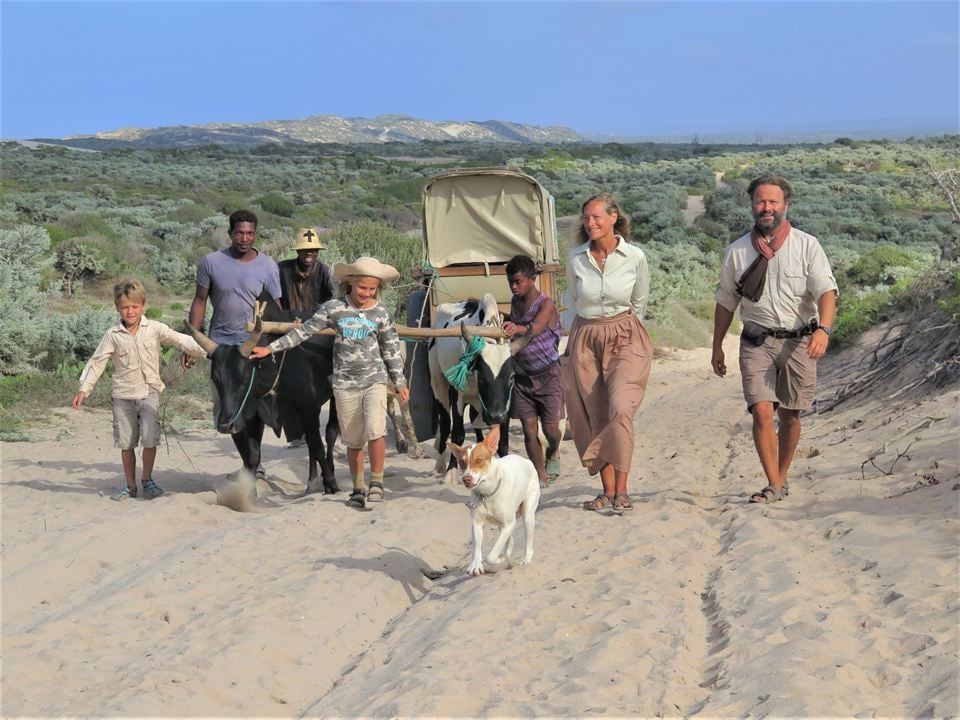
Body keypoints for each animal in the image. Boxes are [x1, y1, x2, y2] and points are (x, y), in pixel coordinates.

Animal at [448, 428, 540, 572]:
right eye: (461, 463)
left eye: (479, 460)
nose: (466, 479)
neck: (487, 494)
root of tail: (527, 461)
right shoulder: (477, 523)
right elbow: (476, 546)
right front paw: (475, 564)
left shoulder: (509, 523)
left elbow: (491, 555)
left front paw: (499, 558)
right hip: (501, 523)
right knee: (509, 539)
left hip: (528, 514)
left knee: (528, 542)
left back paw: (525, 559)